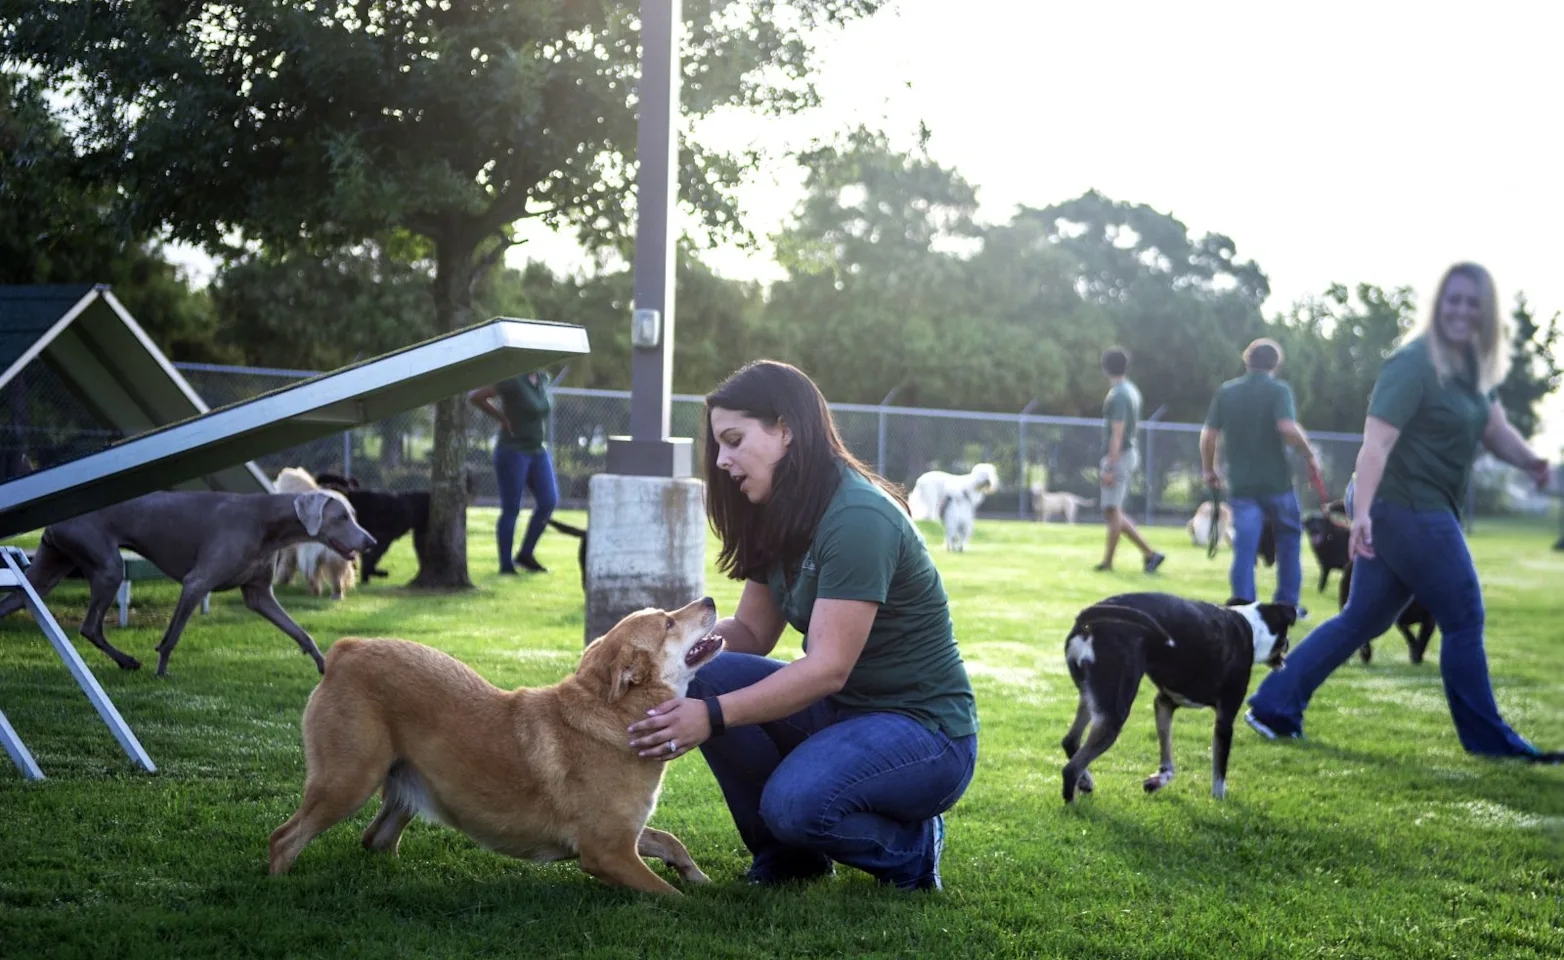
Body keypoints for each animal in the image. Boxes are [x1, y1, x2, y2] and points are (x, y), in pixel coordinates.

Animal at [0, 494, 375, 681]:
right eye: (342, 517)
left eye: (354, 515)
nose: (370, 542)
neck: (267, 523)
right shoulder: (197, 583)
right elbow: (172, 637)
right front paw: (161, 671)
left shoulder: (259, 595)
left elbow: (301, 632)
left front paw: (323, 665)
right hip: (108, 566)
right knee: (90, 626)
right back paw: (127, 661)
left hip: (47, 572)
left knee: (18, 598)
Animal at [270, 597, 725, 900]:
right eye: (668, 623)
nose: (709, 598)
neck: (616, 714)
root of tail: (345, 651)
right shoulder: (607, 853)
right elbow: (673, 899)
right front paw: (701, 905)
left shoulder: (622, 838)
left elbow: (670, 841)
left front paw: (697, 876)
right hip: (347, 783)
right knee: (284, 839)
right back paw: (278, 891)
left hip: (406, 785)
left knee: (375, 839)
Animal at [276, 469, 361, 600]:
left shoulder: (293, 551)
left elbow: (287, 565)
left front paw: (283, 581)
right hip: (334, 556)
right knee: (334, 576)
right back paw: (336, 595)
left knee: (313, 575)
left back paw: (318, 592)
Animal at [1057, 594, 1301, 806]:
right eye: (1285, 635)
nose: (1289, 645)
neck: (1251, 627)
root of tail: (1088, 618)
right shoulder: (1224, 720)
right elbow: (1219, 773)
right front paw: (1219, 804)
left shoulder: (1164, 703)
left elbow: (1168, 762)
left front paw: (1157, 781)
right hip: (1114, 714)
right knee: (1071, 768)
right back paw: (1074, 806)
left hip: (1092, 698)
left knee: (1071, 741)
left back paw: (1086, 782)